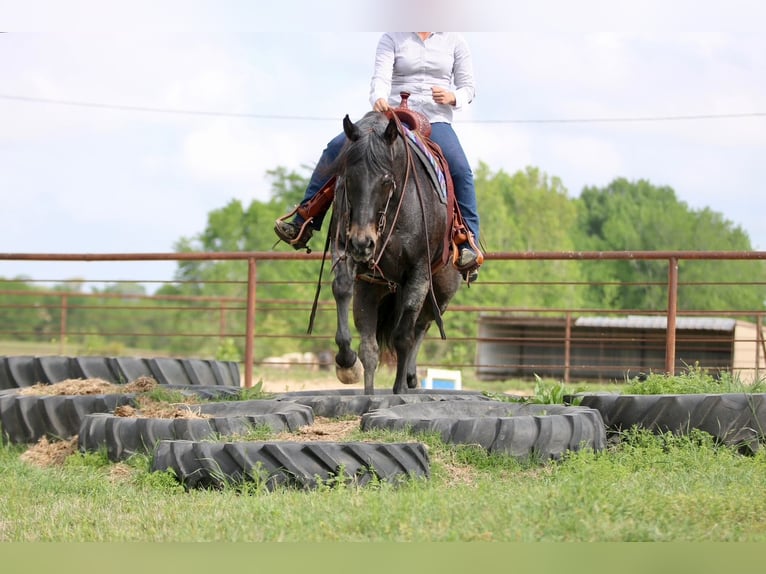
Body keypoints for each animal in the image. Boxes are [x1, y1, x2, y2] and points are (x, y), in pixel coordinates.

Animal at [326, 111, 463, 394]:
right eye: (347, 177)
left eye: (386, 180)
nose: (363, 242)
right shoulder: (343, 248)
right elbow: (342, 289)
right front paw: (346, 363)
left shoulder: (419, 271)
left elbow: (403, 337)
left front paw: (399, 390)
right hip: (371, 288)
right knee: (370, 347)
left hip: (440, 292)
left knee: (420, 327)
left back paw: (409, 378)